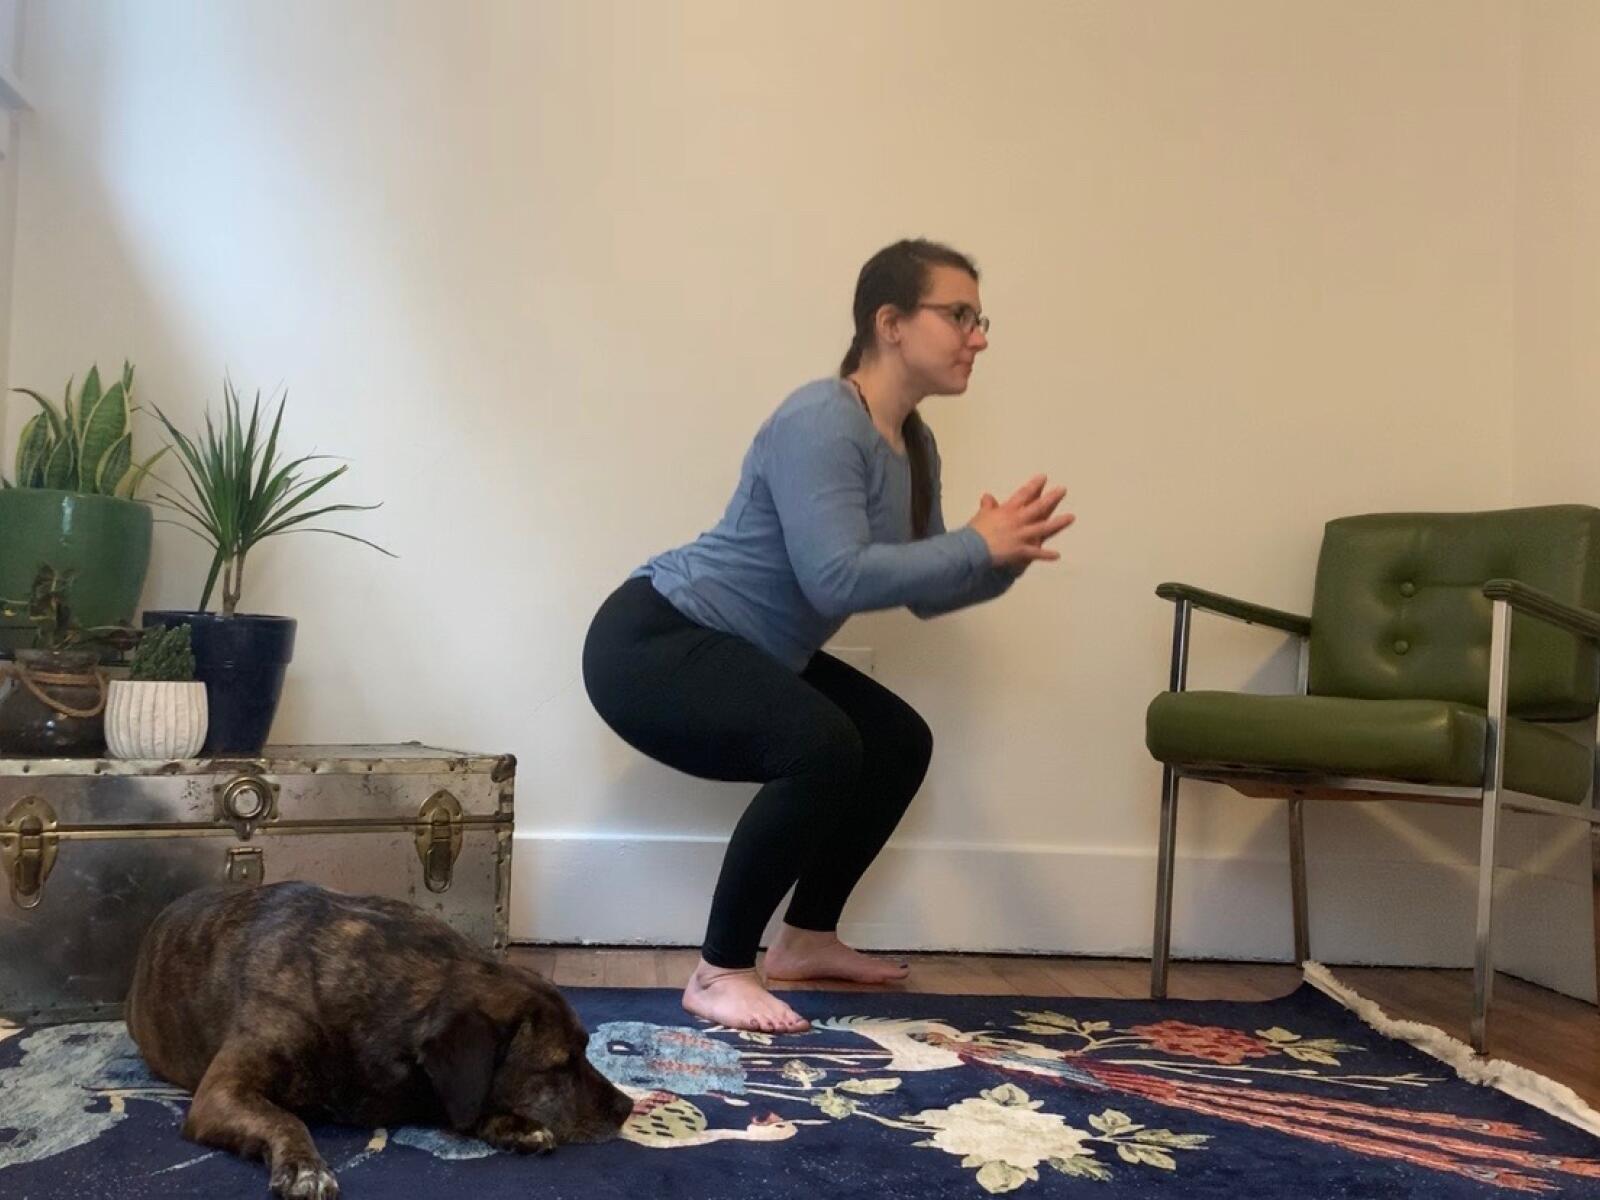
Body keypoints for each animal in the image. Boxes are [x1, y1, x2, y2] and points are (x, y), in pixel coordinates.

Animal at [127, 881, 635, 1199]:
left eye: (586, 1049)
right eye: (559, 1066)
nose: (628, 1107)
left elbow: (463, 1104)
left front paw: (514, 1124)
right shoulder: (221, 1093)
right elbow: (285, 1119)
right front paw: (305, 1167)